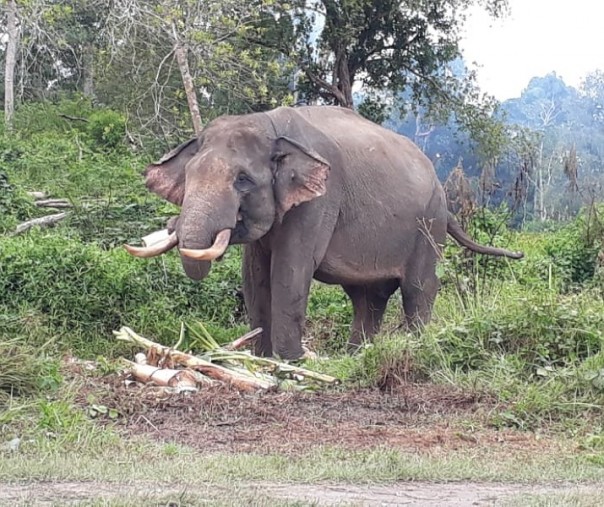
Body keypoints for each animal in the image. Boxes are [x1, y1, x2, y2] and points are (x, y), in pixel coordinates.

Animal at [124, 106, 524, 362]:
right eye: (189, 174)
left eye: (243, 180)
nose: (171, 226)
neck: (269, 124)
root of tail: (443, 191)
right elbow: (254, 276)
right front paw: (260, 358)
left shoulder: (320, 201)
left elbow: (291, 269)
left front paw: (290, 362)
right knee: (368, 296)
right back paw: (356, 356)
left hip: (430, 222)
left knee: (418, 287)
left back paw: (416, 347)